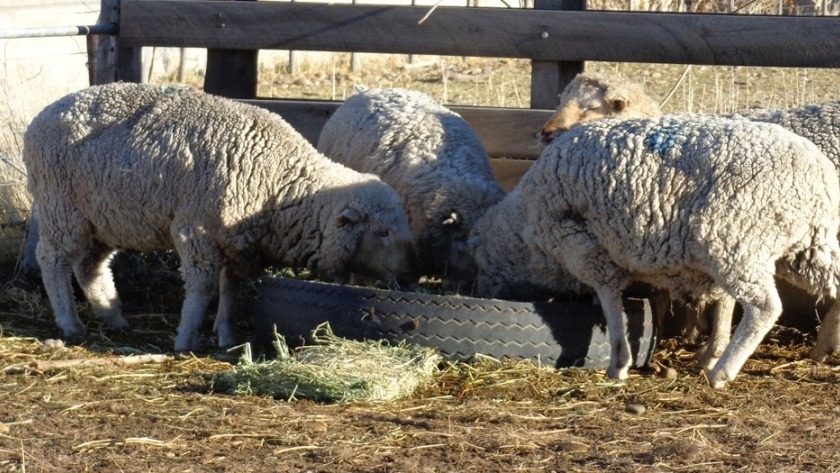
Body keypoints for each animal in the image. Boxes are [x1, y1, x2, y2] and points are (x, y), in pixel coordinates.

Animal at [23, 82, 418, 353]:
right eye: (382, 232)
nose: (410, 274)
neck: (278, 182)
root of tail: (43, 114)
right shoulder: (196, 232)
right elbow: (203, 288)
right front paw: (186, 338)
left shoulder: (239, 242)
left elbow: (231, 289)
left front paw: (227, 335)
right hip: (61, 209)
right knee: (53, 260)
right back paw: (70, 323)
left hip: (105, 218)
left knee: (89, 267)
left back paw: (112, 315)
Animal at [537, 71, 840, 370]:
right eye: (562, 101)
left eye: (590, 107)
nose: (545, 133)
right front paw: (692, 334)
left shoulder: (728, 235)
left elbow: (724, 300)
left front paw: (712, 350)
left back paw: (821, 346)